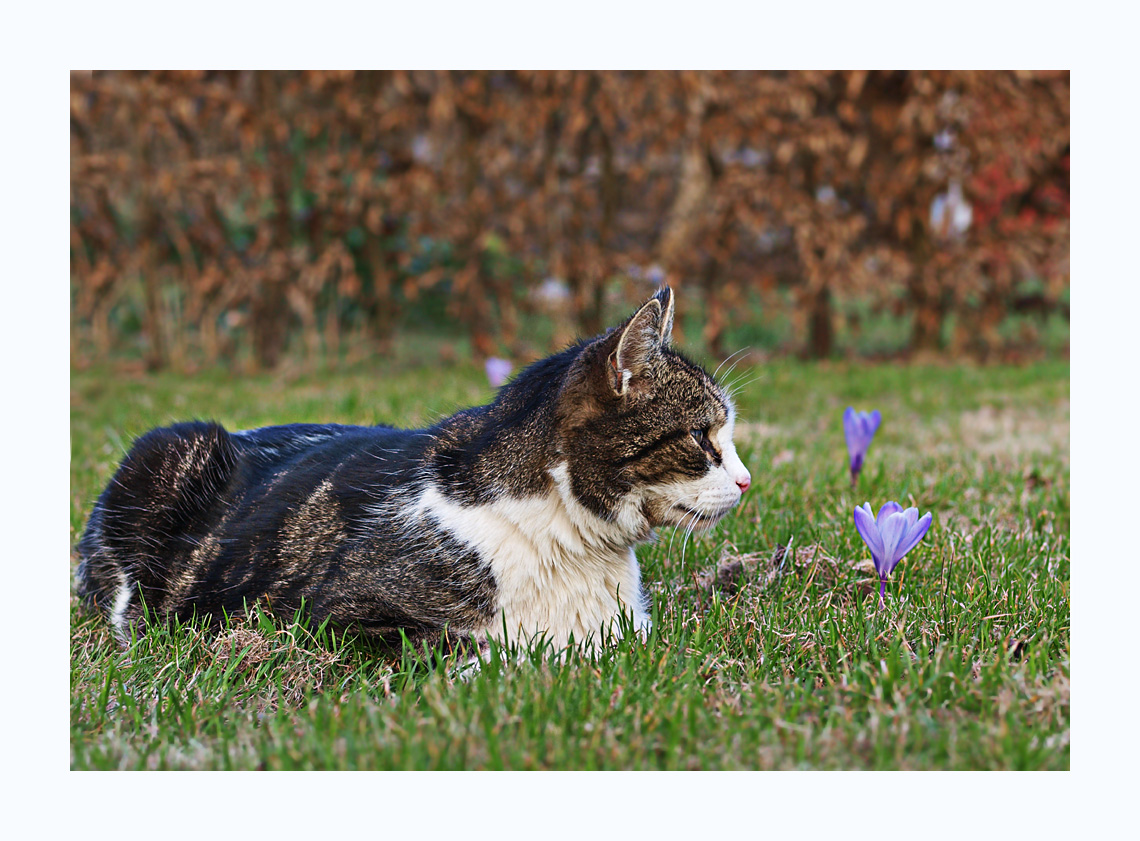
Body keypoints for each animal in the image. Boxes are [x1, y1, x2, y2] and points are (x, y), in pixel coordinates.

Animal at [75, 288, 752, 656]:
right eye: (702, 437)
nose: (747, 481)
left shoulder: (628, 629)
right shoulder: (332, 621)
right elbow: (482, 648)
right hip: (169, 446)